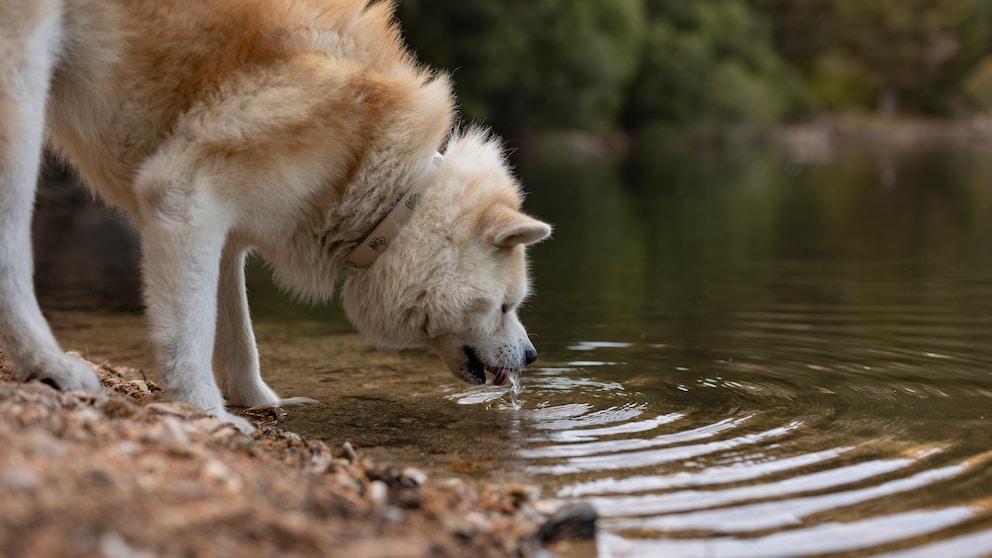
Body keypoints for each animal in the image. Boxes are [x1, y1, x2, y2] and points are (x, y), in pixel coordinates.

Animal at [0, 0, 552, 434]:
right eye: (505, 305)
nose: (532, 357)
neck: (371, 172)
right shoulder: (182, 199)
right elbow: (191, 335)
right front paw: (207, 413)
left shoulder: (222, 235)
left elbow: (238, 339)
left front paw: (262, 403)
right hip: (22, 93)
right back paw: (49, 363)